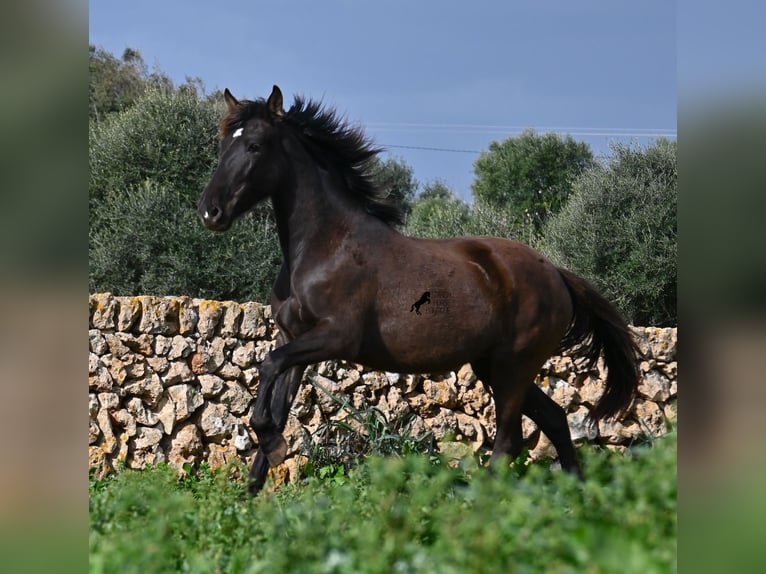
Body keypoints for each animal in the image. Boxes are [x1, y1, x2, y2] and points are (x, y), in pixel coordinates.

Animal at [198, 84, 640, 496]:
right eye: (222, 144)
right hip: (495, 365)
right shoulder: (293, 337)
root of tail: (557, 274)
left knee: (508, 441)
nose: (210, 212)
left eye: (255, 146)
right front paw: (250, 493)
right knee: (555, 419)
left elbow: (268, 369)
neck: (325, 247)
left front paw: (271, 446)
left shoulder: (336, 336)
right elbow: (276, 401)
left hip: (514, 366)